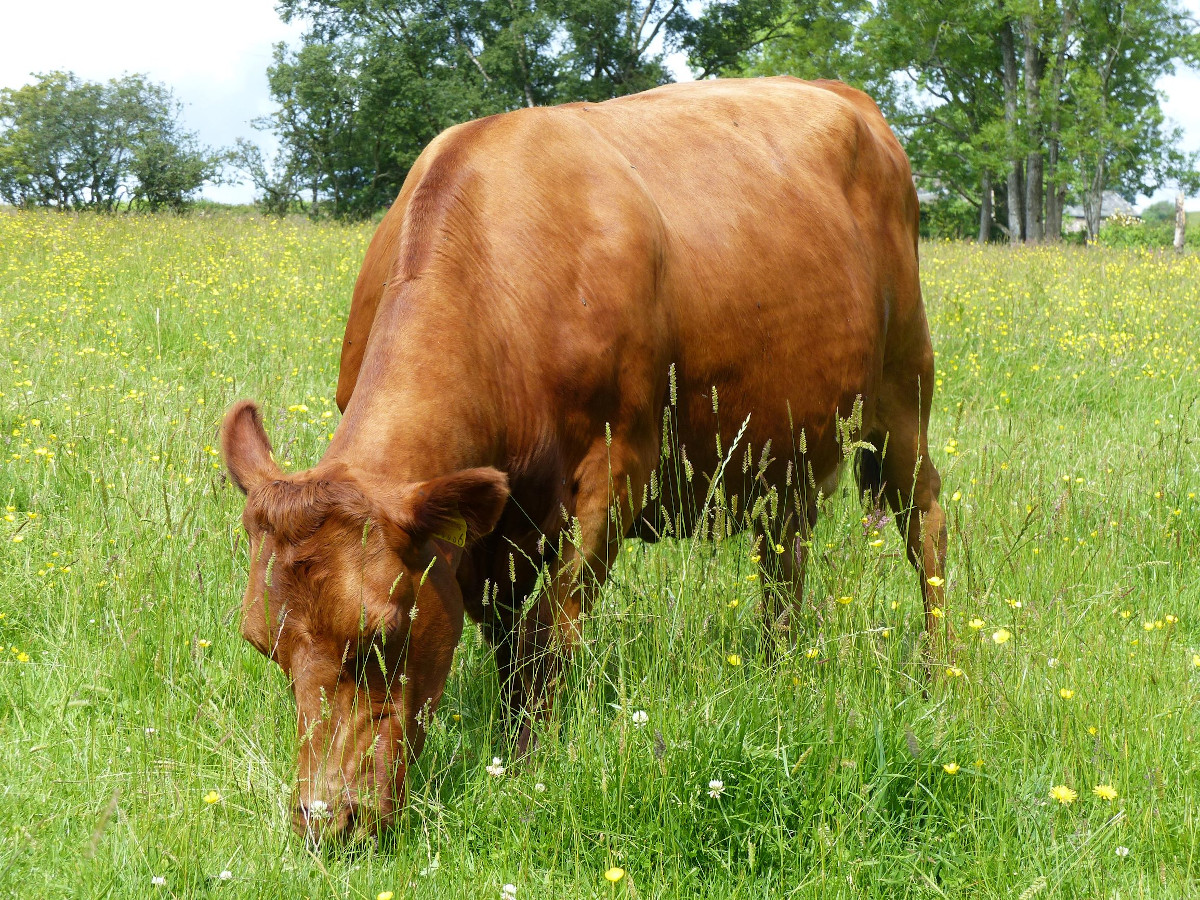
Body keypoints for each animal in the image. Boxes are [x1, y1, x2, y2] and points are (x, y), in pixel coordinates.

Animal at [218, 77, 945, 844]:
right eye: (263, 645)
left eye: (383, 636)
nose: (326, 821)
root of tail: (845, 94)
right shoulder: (487, 532)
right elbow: (508, 642)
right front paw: (510, 744)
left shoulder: (613, 475)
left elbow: (549, 637)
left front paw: (528, 762)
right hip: (789, 455)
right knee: (783, 564)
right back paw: (779, 674)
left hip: (904, 398)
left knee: (926, 528)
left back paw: (938, 675)